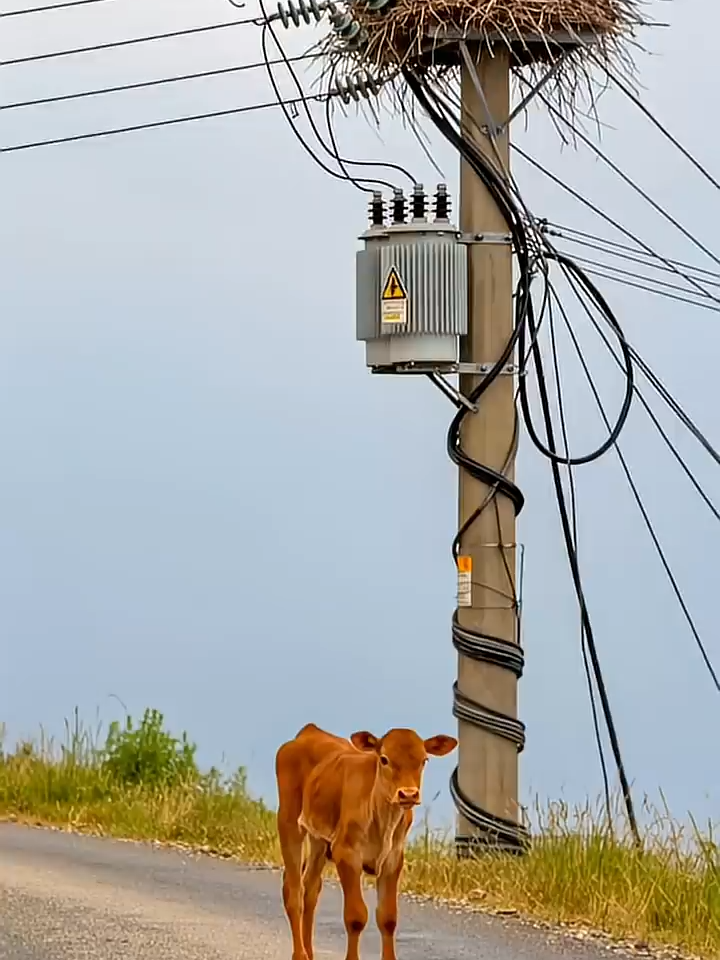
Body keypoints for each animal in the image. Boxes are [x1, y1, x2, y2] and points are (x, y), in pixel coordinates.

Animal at [275, 722, 458, 960]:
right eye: (384, 759)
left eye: (424, 760)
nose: (408, 794)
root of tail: (308, 732)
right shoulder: (347, 854)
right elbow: (356, 917)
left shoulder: (393, 859)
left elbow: (388, 918)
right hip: (289, 822)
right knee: (294, 890)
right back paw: (300, 954)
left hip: (318, 840)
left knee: (310, 889)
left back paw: (310, 952)